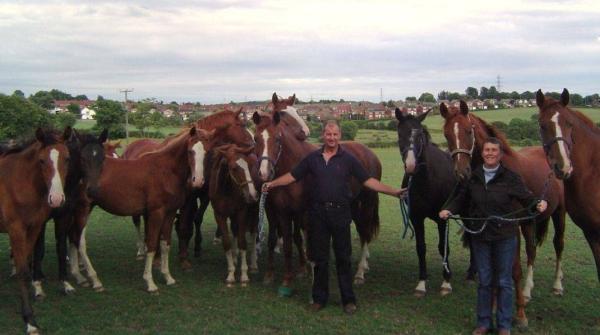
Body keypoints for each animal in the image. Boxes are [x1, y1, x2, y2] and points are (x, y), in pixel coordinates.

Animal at [0, 127, 72, 334]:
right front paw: (29, 320)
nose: (56, 199)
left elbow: (29, 262)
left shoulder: (34, 228)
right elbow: (24, 270)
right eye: (41, 160)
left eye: (67, 158)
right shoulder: (16, 230)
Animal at [84, 127, 198, 292]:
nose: (197, 180)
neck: (165, 171)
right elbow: (151, 244)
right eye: (190, 151)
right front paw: (150, 282)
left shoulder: (169, 214)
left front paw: (168, 277)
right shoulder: (156, 213)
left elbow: (165, 245)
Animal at [207, 143, 258, 288]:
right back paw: (235, 258)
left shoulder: (242, 212)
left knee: (254, 234)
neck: (226, 189)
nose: (252, 194)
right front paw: (230, 274)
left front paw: (244, 275)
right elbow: (227, 243)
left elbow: (242, 242)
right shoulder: (219, 215)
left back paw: (254, 264)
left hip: (254, 212)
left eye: (249, 166)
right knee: (235, 231)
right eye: (234, 168)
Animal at [396, 107, 462, 296]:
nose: (411, 166)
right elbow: (421, 248)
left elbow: (443, 247)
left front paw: (446, 281)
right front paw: (421, 283)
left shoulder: (442, 219)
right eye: (400, 134)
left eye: (420, 136)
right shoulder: (416, 218)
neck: (428, 181)